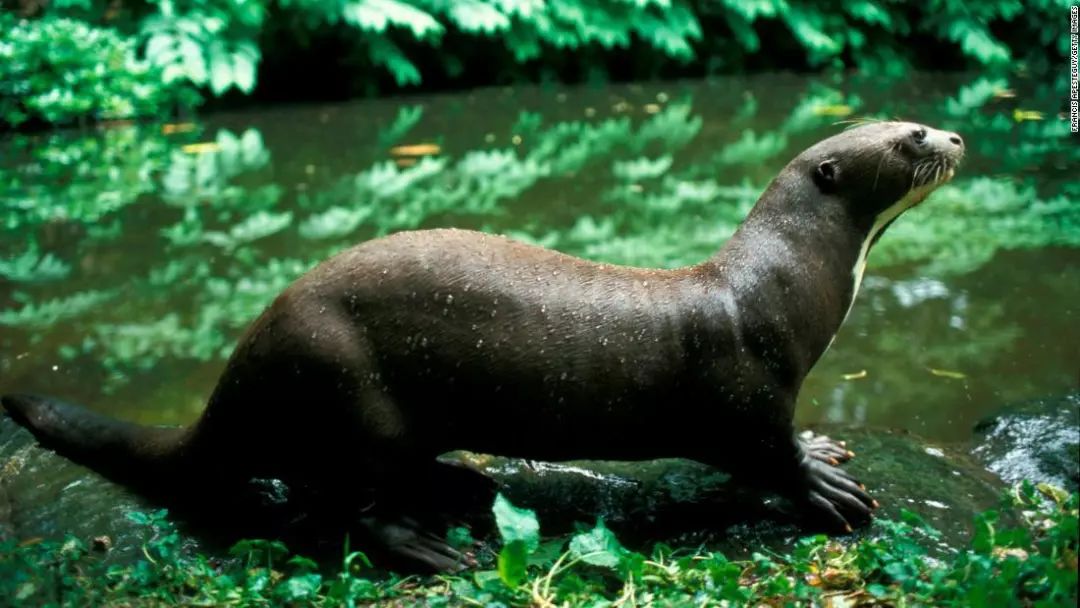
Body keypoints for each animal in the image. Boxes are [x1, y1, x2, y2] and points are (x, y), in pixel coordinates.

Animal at [0, 122, 963, 570]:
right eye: (906, 137)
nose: (953, 136)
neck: (779, 286)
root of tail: (239, 371)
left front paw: (826, 446)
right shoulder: (749, 388)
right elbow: (763, 450)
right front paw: (825, 486)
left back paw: (462, 484)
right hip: (348, 388)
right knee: (347, 508)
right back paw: (430, 540)